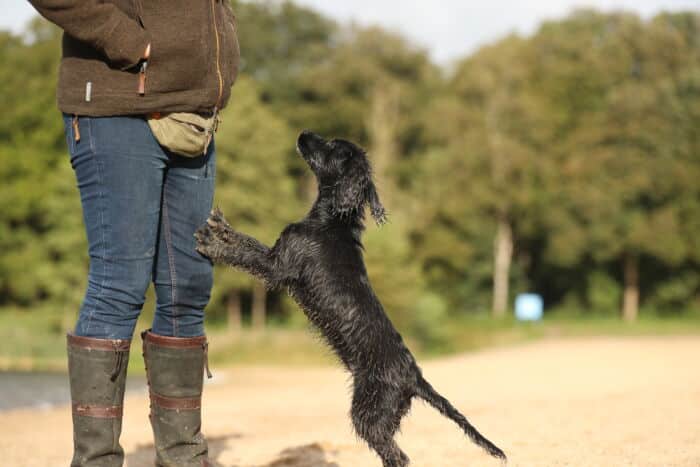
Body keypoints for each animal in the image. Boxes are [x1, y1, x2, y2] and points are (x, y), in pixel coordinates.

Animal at [194, 131, 506, 467]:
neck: (332, 219)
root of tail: (414, 377)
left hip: (369, 412)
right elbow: (247, 241)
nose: (303, 134)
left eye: (332, 146)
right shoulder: (277, 254)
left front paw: (210, 243)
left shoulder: (277, 266)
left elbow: (243, 254)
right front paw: (220, 225)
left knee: (398, 456)